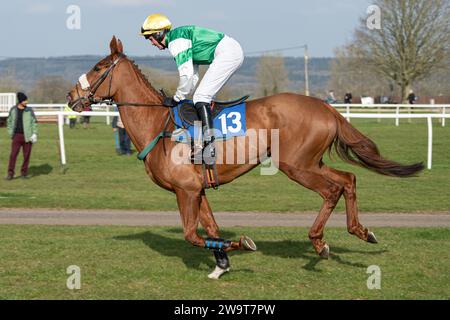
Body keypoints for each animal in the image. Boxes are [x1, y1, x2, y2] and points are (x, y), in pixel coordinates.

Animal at [67, 37, 422, 278]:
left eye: (98, 68)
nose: (71, 96)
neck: (158, 125)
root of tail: (326, 107)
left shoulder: (185, 190)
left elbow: (192, 235)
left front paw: (240, 245)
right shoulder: (197, 189)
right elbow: (210, 229)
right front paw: (221, 264)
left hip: (296, 166)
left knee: (333, 189)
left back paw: (319, 243)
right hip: (311, 162)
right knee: (348, 179)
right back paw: (360, 231)